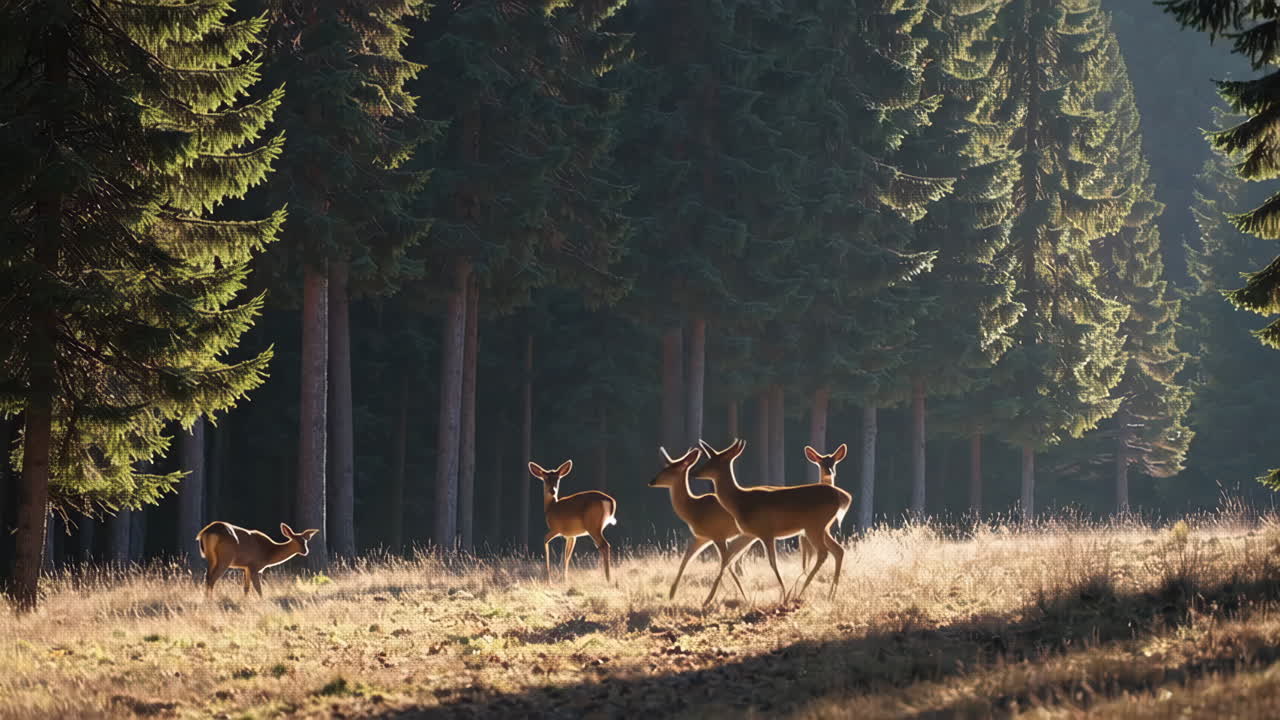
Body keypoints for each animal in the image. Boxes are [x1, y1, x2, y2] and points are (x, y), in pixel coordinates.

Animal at [650, 446, 760, 607]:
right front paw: (671, 594)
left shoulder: (719, 534)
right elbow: (686, 558)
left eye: (670, 470)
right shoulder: (702, 537)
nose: (652, 481)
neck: (694, 510)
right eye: (663, 468)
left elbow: (726, 562)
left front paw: (743, 595)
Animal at [695, 438, 852, 602]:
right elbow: (727, 559)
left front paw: (784, 594)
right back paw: (830, 595)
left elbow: (773, 563)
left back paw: (801, 592)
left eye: (712, 462)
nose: (694, 472)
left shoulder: (766, 532)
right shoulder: (749, 534)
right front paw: (708, 599)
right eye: (708, 459)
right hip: (822, 527)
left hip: (814, 526)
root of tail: (843, 496)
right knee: (838, 550)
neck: (739, 502)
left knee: (824, 552)